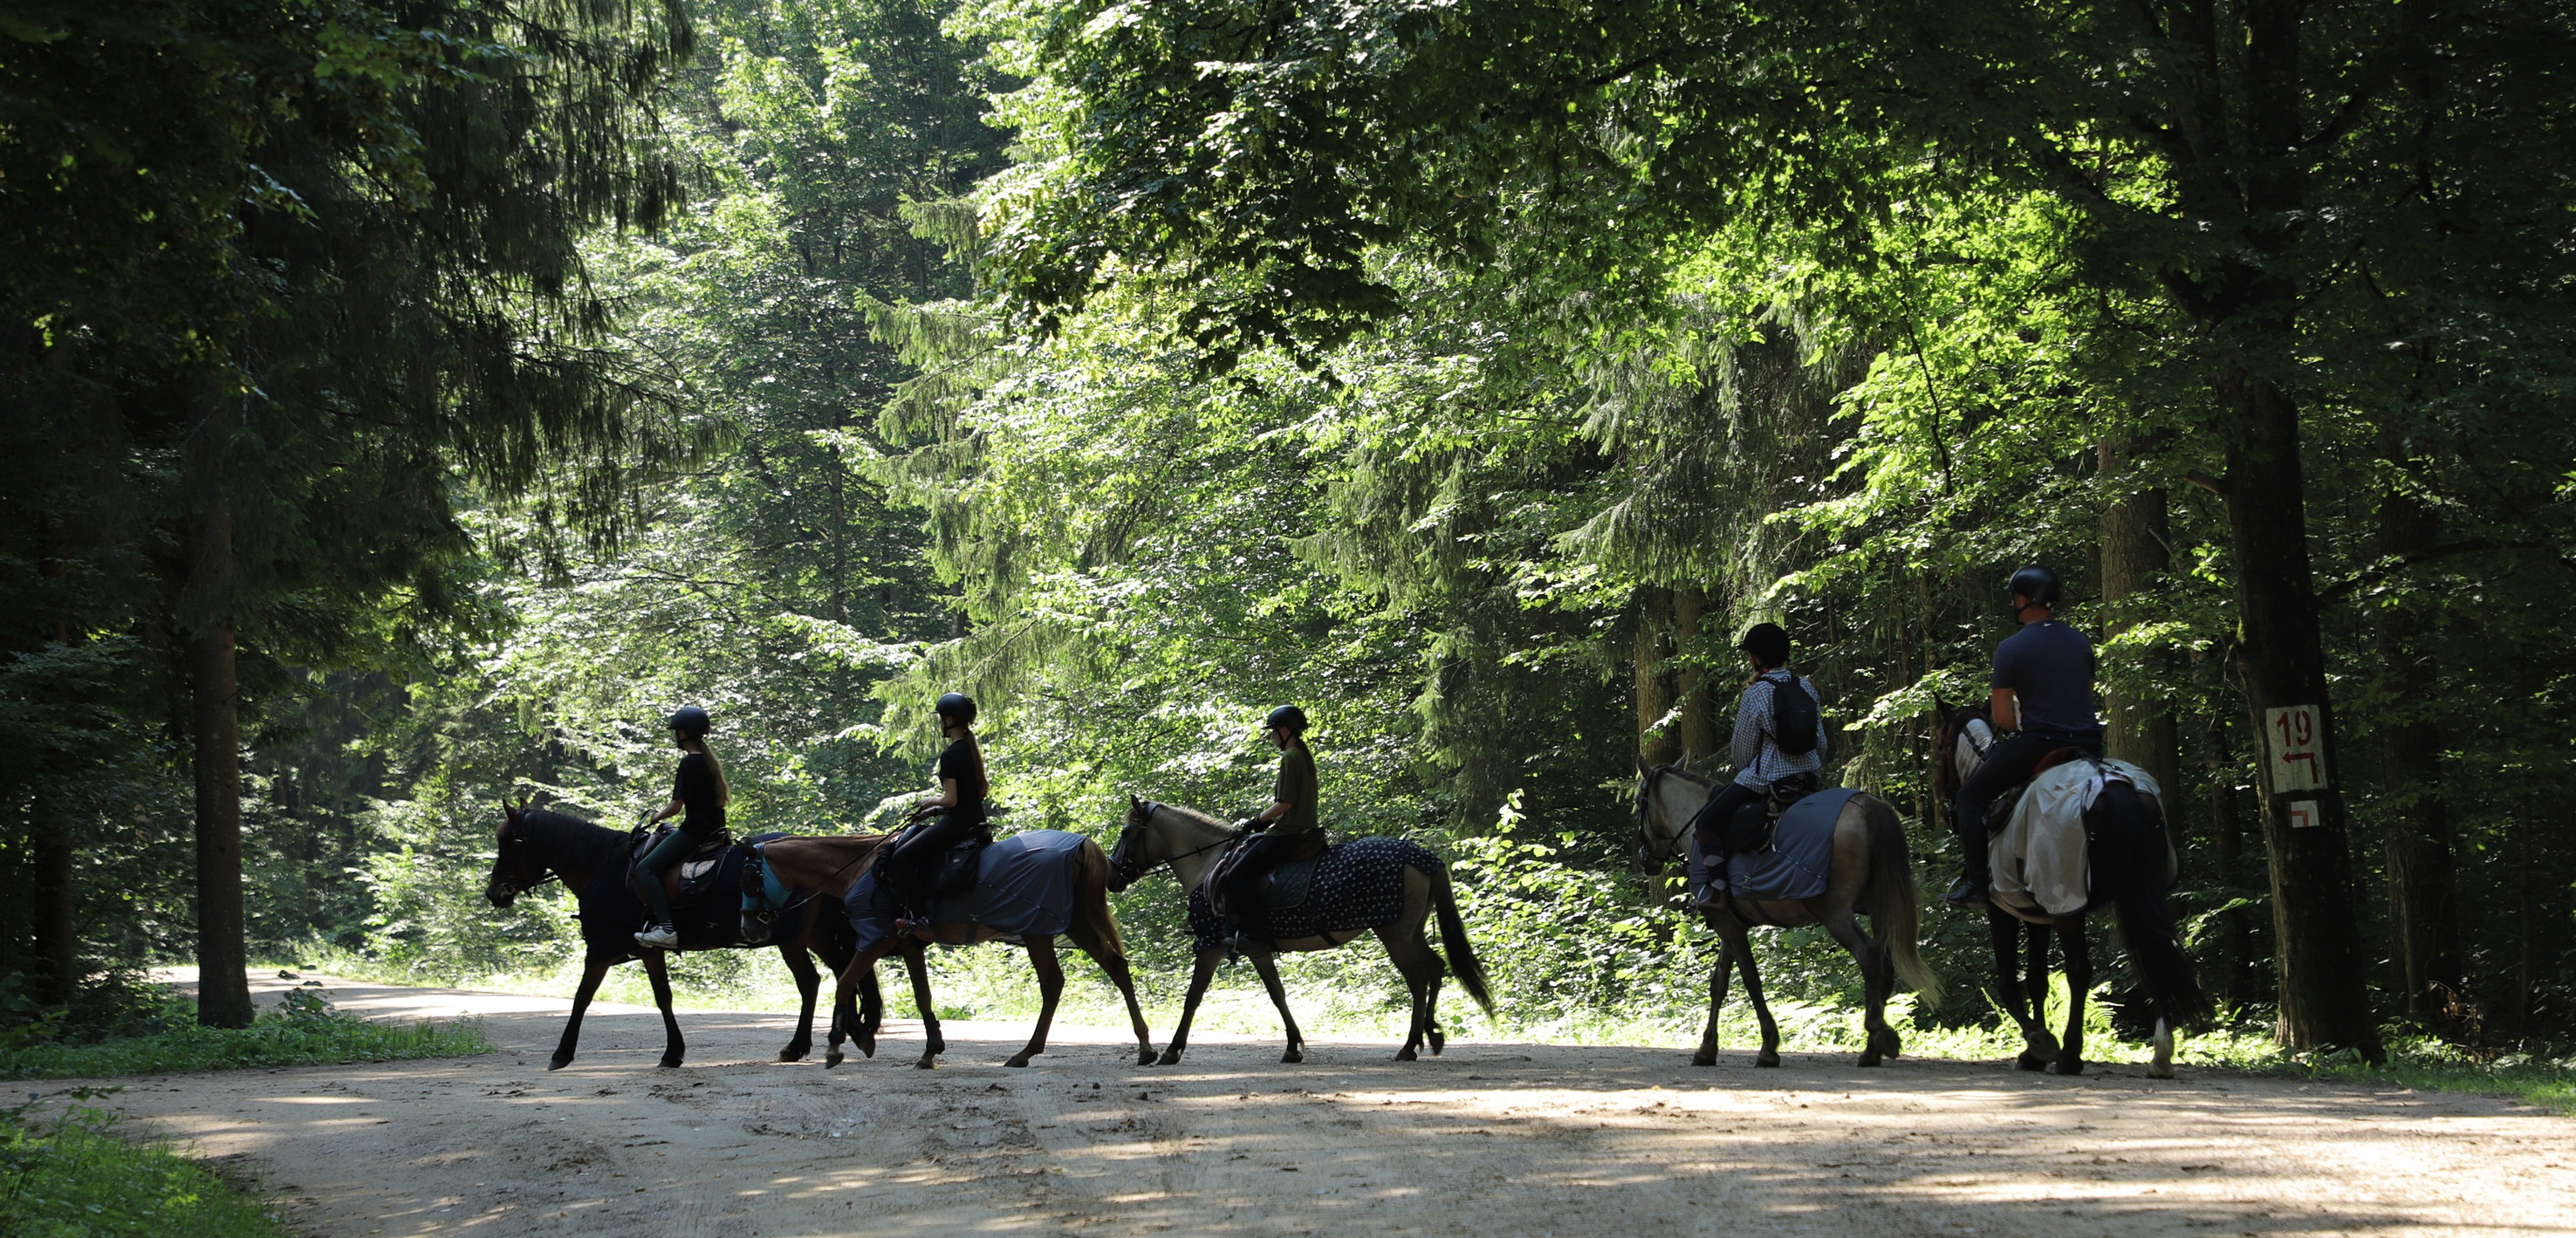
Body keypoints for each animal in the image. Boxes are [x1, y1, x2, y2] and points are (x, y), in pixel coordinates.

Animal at [486, 808, 901, 1065]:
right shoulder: (649, 950)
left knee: (813, 981)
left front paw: (562, 1052)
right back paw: (842, 1036)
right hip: (814, 936)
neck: (604, 867)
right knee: (836, 975)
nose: (495, 893)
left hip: (793, 940)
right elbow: (663, 998)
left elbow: (582, 997)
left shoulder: (601, 950)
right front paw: (673, 1053)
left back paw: (810, 1043)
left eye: (514, 842)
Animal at [1102, 797, 1494, 1065]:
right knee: (1435, 969)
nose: (1113, 875)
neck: (1209, 863)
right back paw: (1431, 1036)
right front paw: (1293, 1047)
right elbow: (1278, 995)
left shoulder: (1210, 945)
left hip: (1395, 936)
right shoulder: (1257, 948)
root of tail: (1420, 856)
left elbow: (1193, 997)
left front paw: (1171, 1050)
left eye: (1126, 832)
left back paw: (1410, 1046)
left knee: (1419, 978)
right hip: (1409, 933)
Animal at [1627, 762, 1936, 1060]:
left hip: (1835, 913)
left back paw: (1877, 1035)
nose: (1645, 859)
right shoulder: (1729, 924)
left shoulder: (1727, 925)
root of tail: (1867, 804)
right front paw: (1707, 1048)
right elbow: (1719, 984)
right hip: (1877, 906)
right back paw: (1873, 1046)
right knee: (1885, 960)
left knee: (1869, 955)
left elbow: (1751, 980)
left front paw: (1768, 1045)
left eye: (1638, 802)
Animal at [1936, 700, 2215, 1076]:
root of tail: (2109, 781)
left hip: (2066, 899)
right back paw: (2161, 1054)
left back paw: (2069, 1054)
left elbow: (2009, 981)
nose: (1946, 808)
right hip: (2136, 894)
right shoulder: (2038, 914)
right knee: (2154, 953)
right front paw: (2034, 1051)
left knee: (2080, 971)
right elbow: (2037, 980)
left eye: (1940, 746)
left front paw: (2039, 1045)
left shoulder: (2004, 909)